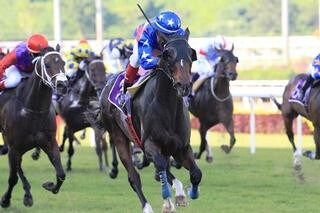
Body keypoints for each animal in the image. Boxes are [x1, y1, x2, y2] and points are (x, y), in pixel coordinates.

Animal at [0, 45, 67, 208]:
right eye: (47, 64)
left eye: (63, 63)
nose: (63, 85)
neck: (34, 110)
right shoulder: (15, 147)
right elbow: (12, 178)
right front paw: (5, 200)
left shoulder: (49, 143)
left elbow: (61, 174)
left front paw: (49, 185)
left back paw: (28, 193)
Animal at [100, 28, 201, 213]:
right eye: (168, 55)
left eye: (191, 53)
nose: (184, 86)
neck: (167, 107)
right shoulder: (149, 144)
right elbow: (160, 166)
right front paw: (171, 197)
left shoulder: (182, 147)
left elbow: (196, 173)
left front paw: (190, 192)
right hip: (119, 136)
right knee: (134, 176)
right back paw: (148, 206)